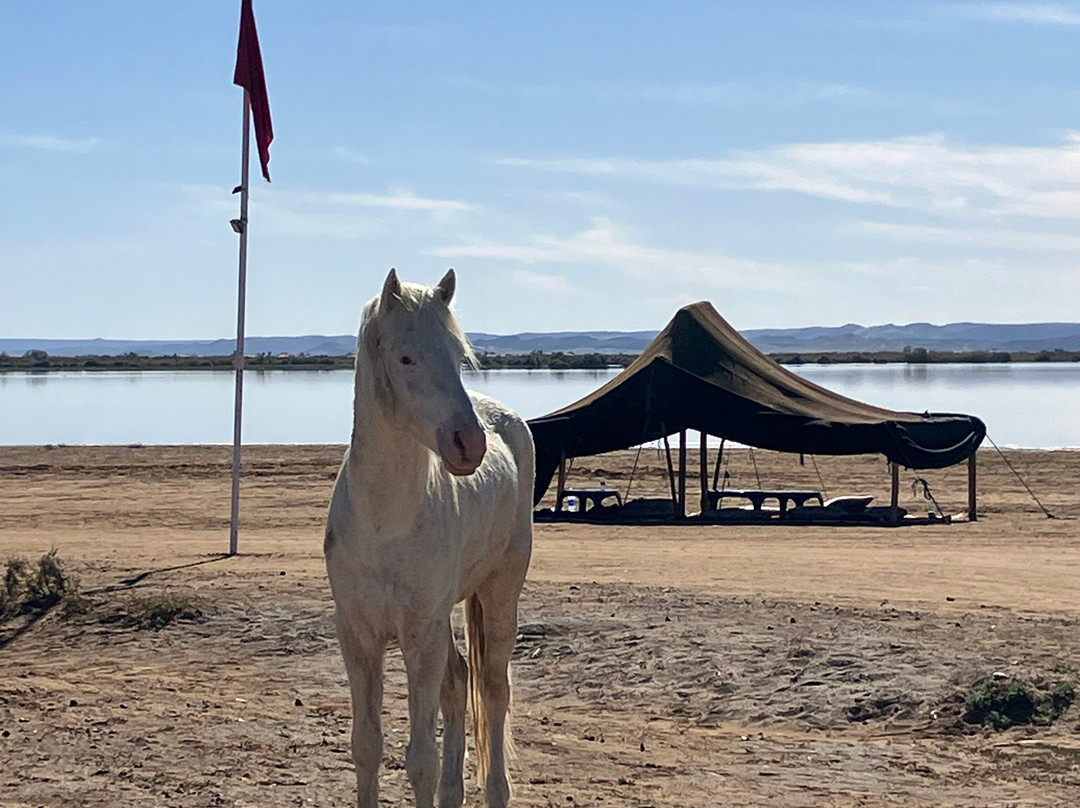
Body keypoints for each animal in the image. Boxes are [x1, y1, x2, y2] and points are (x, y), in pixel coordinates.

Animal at [324, 268, 534, 808]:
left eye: (459, 356)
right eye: (406, 357)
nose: (470, 444)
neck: (385, 523)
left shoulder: (419, 636)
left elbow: (421, 758)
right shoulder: (358, 635)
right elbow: (366, 746)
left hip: (499, 595)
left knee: (492, 692)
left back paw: (496, 792)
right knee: (459, 683)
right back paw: (453, 794)